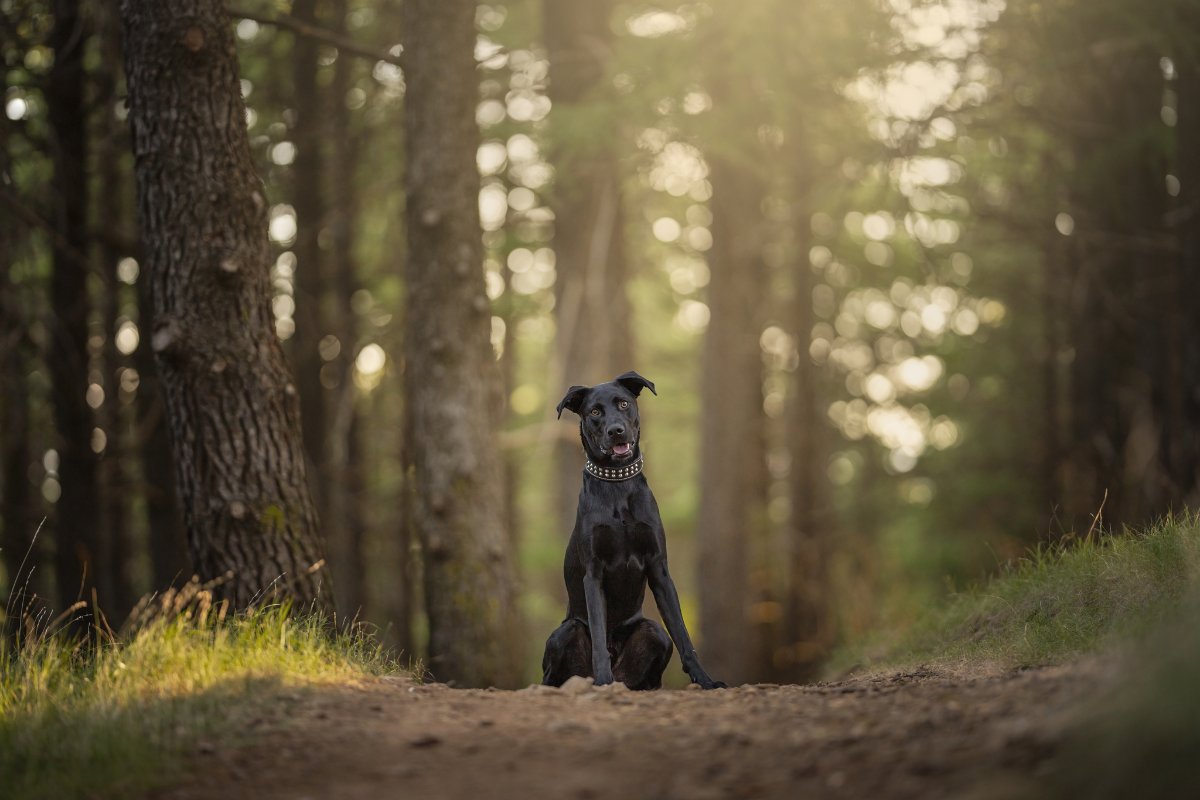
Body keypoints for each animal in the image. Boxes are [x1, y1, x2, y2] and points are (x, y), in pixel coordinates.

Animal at [542, 371, 720, 690]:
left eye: (623, 403)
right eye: (594, 412)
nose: (616, 431)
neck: (617, 483)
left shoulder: (659, 568)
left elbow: (683, 636)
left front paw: (705, 680)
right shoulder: (593, 573)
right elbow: (599, 638)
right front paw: (603, 681)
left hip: (654, 633)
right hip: (566, 632)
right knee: (554, 673)